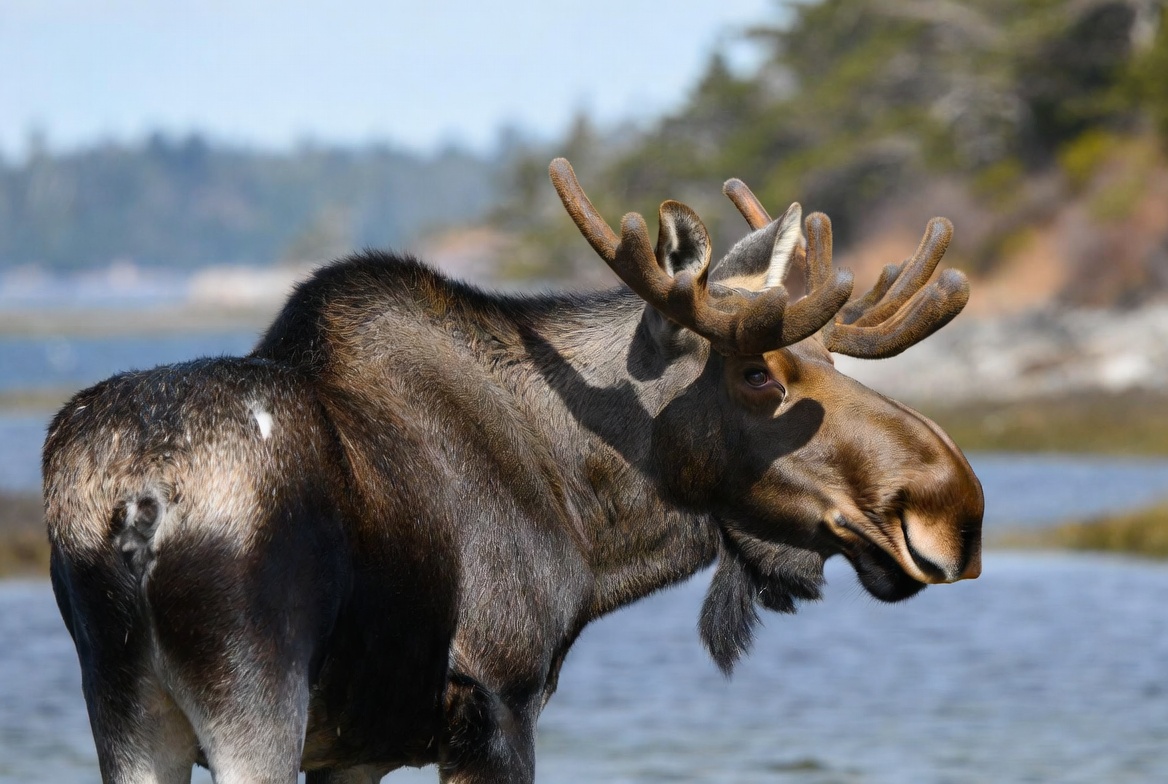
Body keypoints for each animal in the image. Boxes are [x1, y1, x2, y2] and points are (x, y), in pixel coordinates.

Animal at [43, 158, 982, 783]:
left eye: (832, 356)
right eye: (757, 372)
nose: (953, 506)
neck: (590, 524)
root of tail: (136, 506)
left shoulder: (359, 749)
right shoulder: (495, 699)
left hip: (128, 714)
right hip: (252, 702)